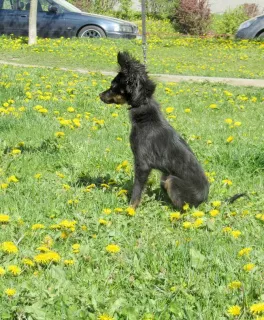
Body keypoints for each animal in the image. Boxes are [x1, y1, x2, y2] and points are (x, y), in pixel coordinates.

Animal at [100, 52, 209, 210]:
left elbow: (136, 191)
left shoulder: (142, 164)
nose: (100, 95)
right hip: (165, 177)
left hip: (171, 180)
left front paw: (130, 210)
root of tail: (205, 199)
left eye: (113, 85)